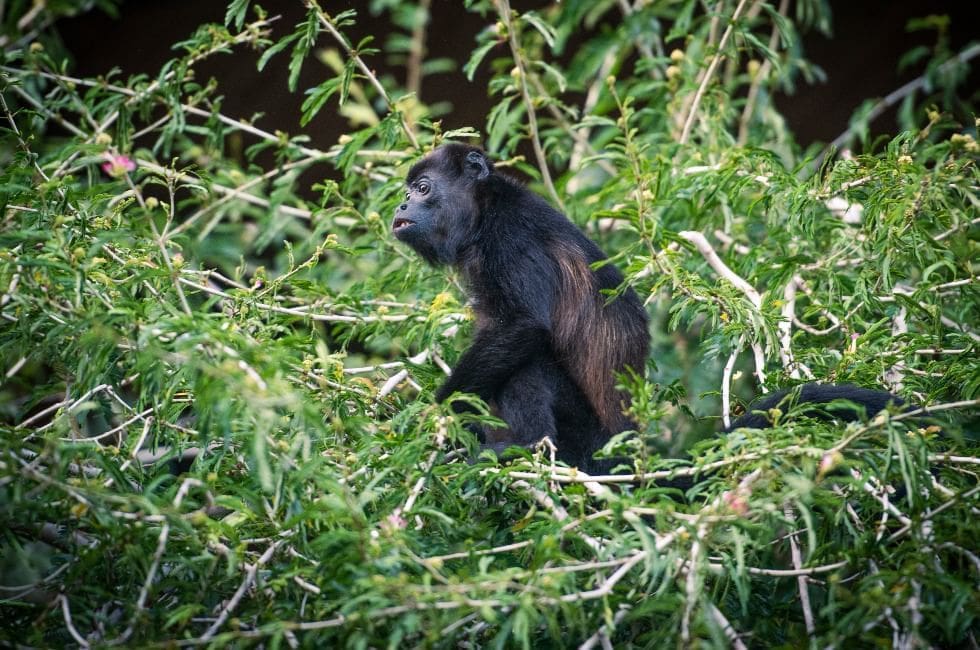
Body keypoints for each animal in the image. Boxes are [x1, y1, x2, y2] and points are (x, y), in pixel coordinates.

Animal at [392, 144, 903, 473]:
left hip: (587, 439)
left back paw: (529, 452)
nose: (400, 205)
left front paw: (434, 415)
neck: (481, 214)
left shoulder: (510, 238)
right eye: (407, 189)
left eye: (423, 188)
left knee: (529, 367)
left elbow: (524, 327)